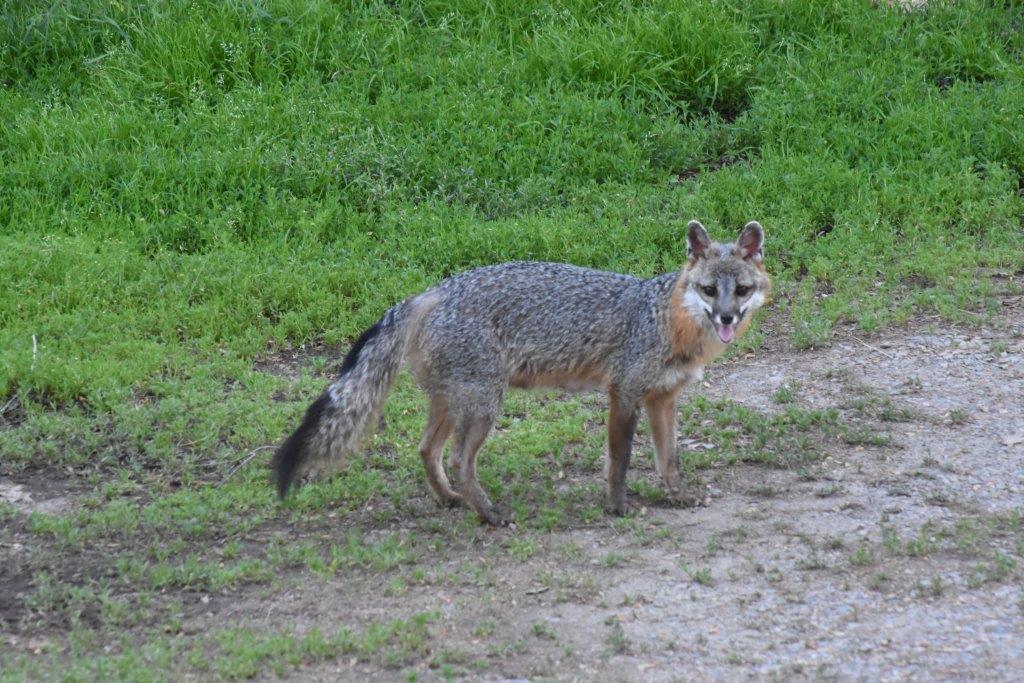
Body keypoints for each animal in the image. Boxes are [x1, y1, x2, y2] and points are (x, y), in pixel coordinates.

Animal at [271, 220, 770, 525]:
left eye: (742, 290)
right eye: (710, 290)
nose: (726, 318)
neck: (667, 320)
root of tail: (433, 291)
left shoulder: (663, 399)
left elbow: (670, 460)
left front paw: (678, 495)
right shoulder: (624, 393)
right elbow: (621, 461)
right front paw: (616, 506)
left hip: (454, 403)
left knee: (426, 450)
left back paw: (449, 499)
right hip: (483, 406)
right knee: (460, 460)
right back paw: (490, 515)